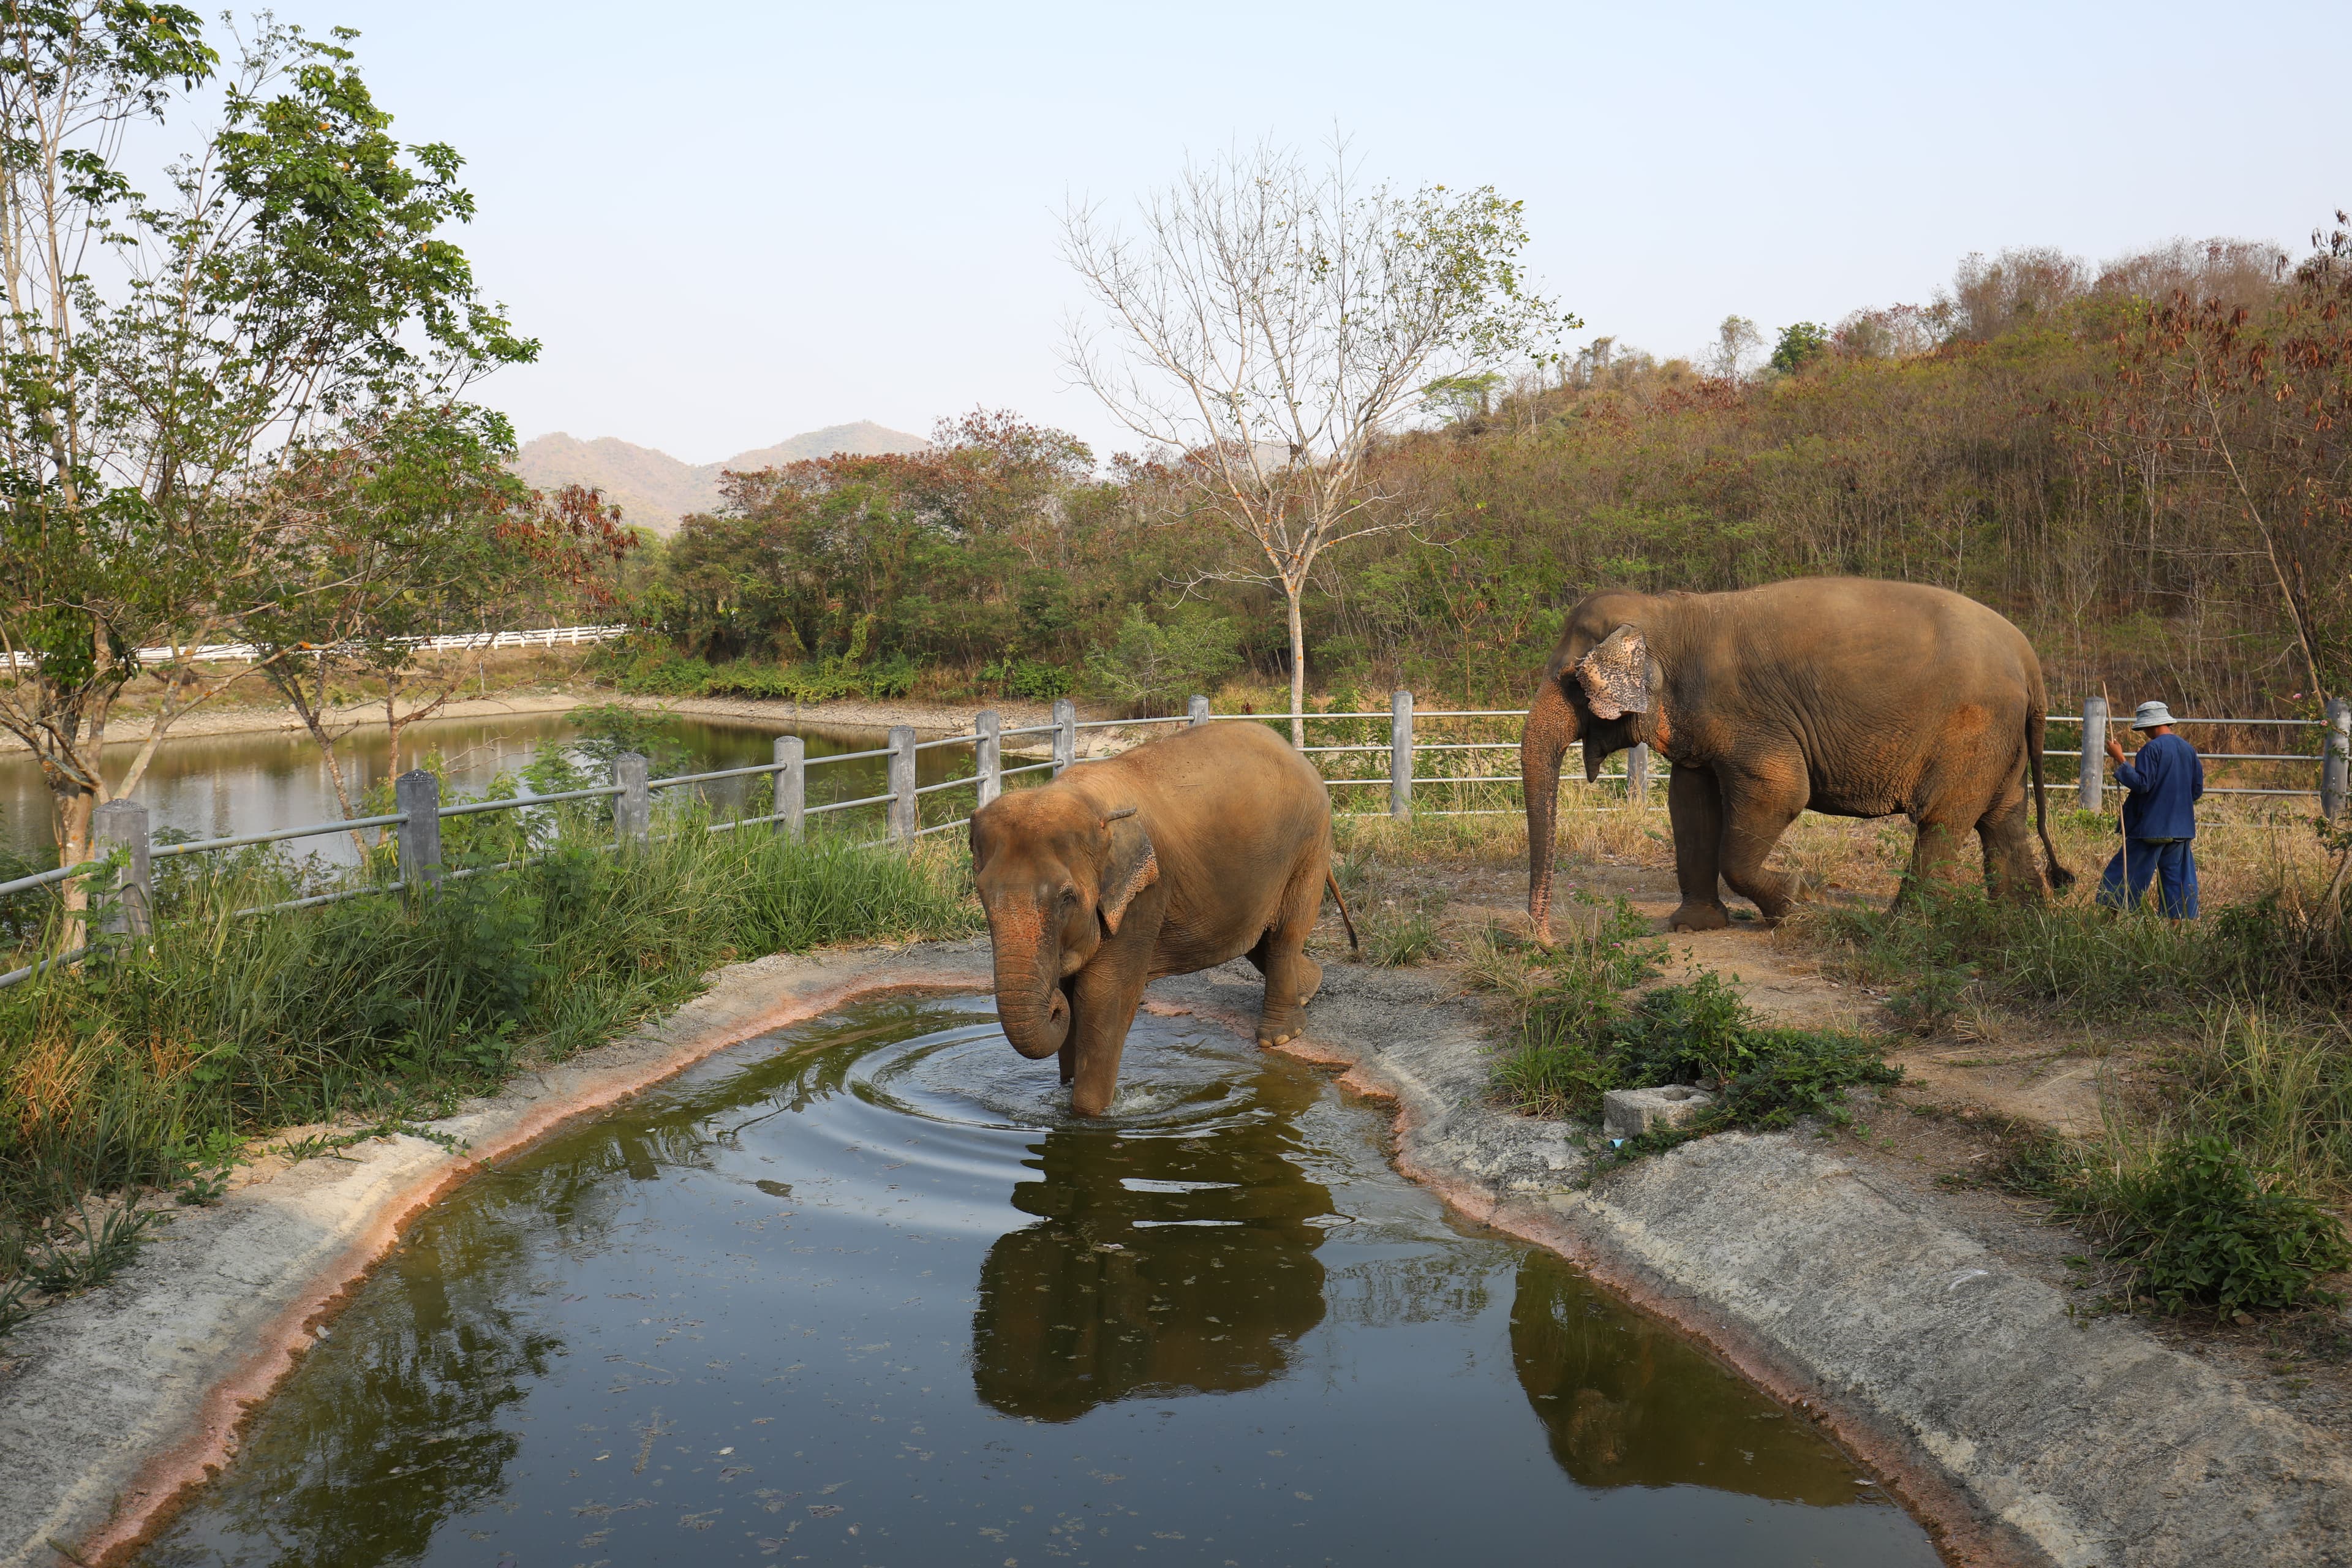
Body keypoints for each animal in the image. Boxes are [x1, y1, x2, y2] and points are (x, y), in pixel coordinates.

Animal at [970, 721, 1357, 1116]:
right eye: (982, 894)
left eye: (1067, 898)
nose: (1052, 1007)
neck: (1083, 799)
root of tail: (1295, 753)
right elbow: (1072, 991)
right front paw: (1064, 1093)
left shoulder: (1144, 895)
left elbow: (1102, 996)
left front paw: (1089, 1115)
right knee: (1256, 939)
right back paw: (1308, 990)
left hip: (1308, 843)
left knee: (1283, 934)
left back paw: (1279, 1038)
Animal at [1519, 577, 2073, 941]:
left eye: (1571, 680)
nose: (1548, 942)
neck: (1668, 613)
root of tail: (2028, 656)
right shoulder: (1702, 721)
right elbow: (1690, 802)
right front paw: (1694, 927)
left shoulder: (1749, 716)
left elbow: (1781, 791)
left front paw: (1801, 901)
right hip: (2004, 739)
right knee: (2003, 819)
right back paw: (2023, 922)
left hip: (1973, 729)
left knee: (1941, 820)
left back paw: (1903, 928)